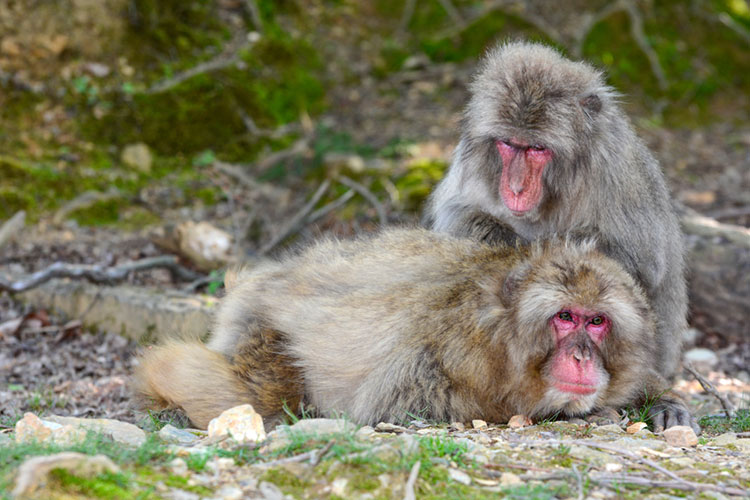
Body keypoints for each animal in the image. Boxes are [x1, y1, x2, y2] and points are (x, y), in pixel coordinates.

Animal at [134, 228, 697, 433]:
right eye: (566, 318)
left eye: (596, 321)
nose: (581, 357)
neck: (494, 336)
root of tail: (262, 278)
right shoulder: (439, 353)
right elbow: (401, 406)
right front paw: (586, 411)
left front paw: (662, 401)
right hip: (259, 328)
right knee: (256, 395)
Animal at [422, 41, 687, 380]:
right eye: (509, 144)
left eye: (537, 149)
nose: (516, 187)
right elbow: (454, 213)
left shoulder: (616, 166)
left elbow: (640, 264)